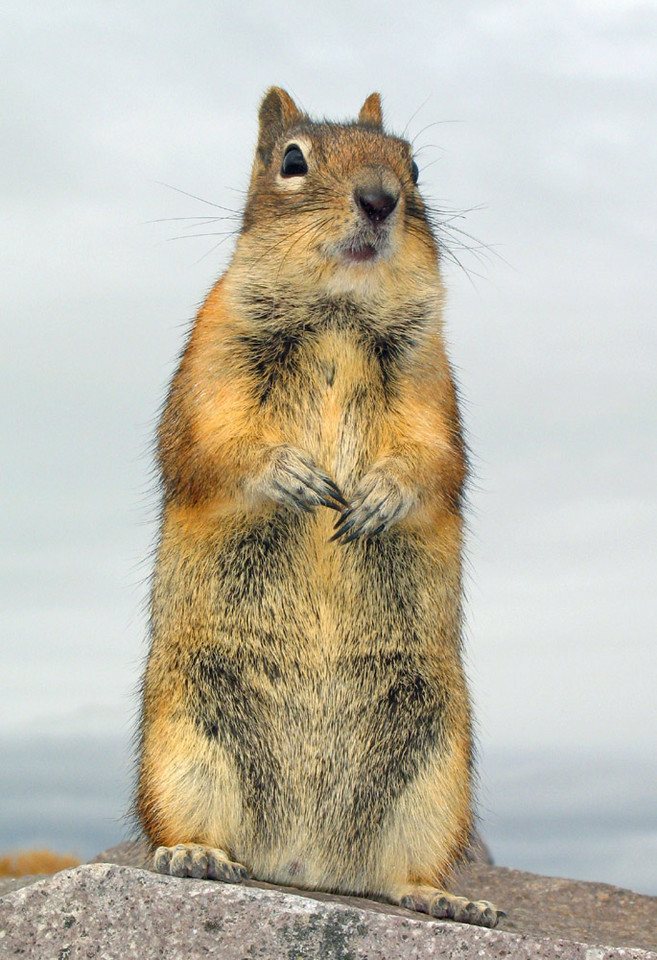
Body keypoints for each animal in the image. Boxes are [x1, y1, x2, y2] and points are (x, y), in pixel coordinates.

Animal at [136, 86, 500, 928]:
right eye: (291, 160)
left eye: (413, 166)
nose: (379, 199)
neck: (339, 314)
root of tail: (303, 865)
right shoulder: (208, 369)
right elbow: (211, 447)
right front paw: (293, 477)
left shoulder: (435, 391)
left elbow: (435, 464)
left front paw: (377, 497)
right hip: (183, 741)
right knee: (192, 821)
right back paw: (195, 854)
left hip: (436, 771)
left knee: (403, 869)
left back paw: (445, 898)